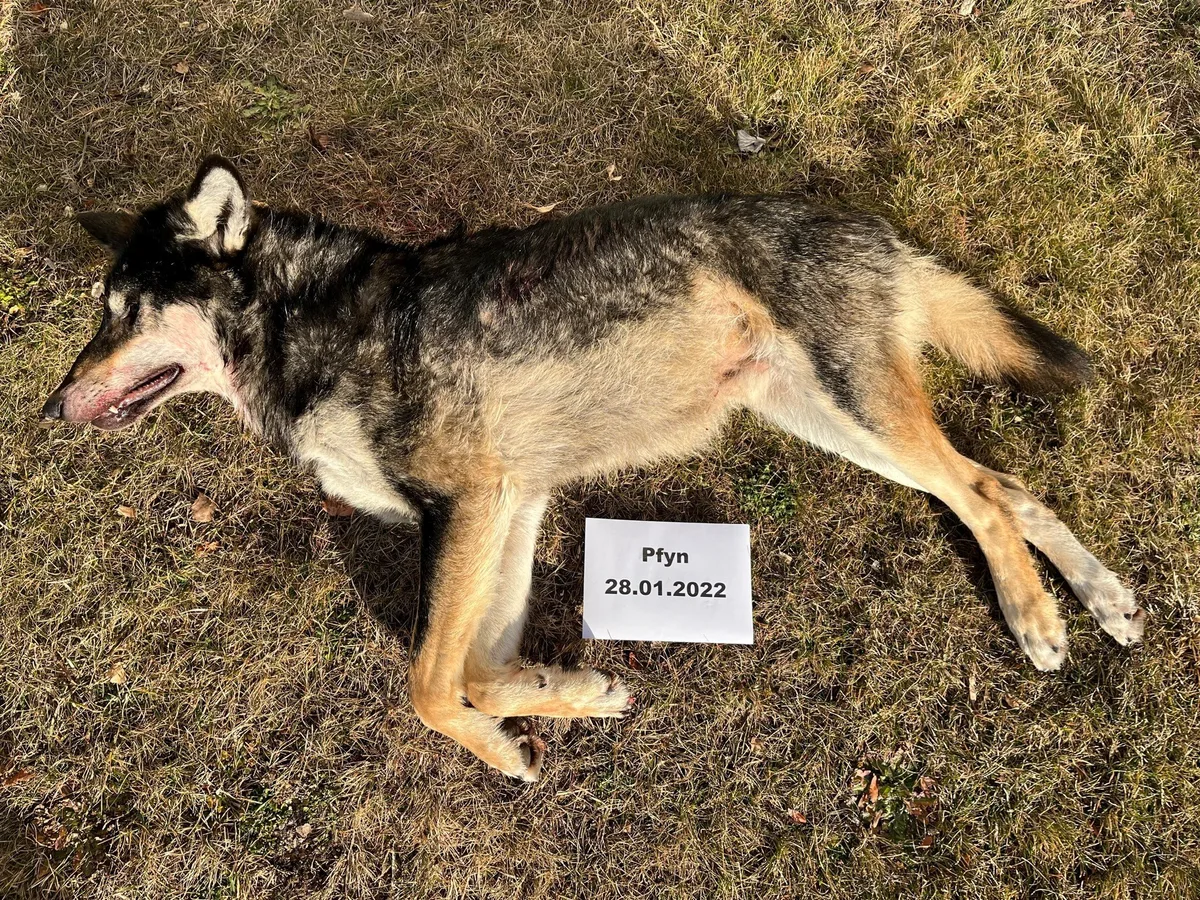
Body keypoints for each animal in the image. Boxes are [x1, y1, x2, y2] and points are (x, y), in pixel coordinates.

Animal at [42, 157, 1144, 780]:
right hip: (837, 423)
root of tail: (871, 226)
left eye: (123, 314)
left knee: (984, 493)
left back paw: (1038, 620)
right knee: (1008, 485)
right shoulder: (510, 504)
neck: (308, 326)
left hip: (856, 408)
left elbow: (430, 686)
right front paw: (568, 693)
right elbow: (476, 671)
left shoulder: (469, 503)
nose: (51, 407)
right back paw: (1107, 600)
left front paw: (508, 748)